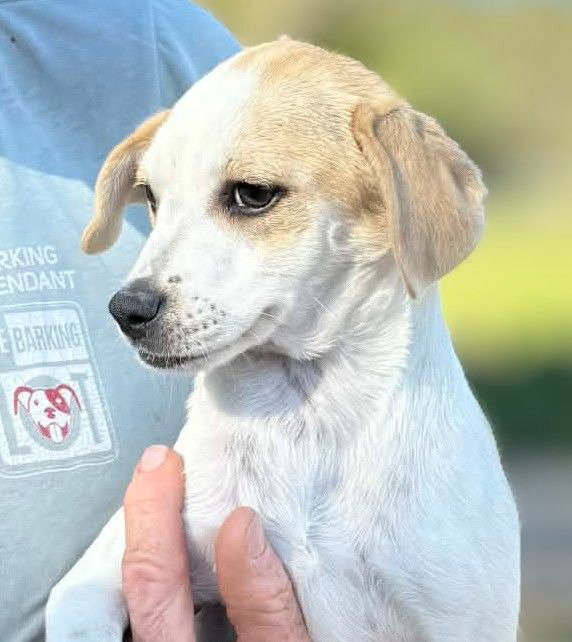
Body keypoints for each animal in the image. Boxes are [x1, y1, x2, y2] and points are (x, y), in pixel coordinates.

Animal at [46, 40, 520, 641]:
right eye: (152, 197)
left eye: (252, 195)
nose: (126, 310)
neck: (303, 417)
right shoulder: (92, 578)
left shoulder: (463, 617)